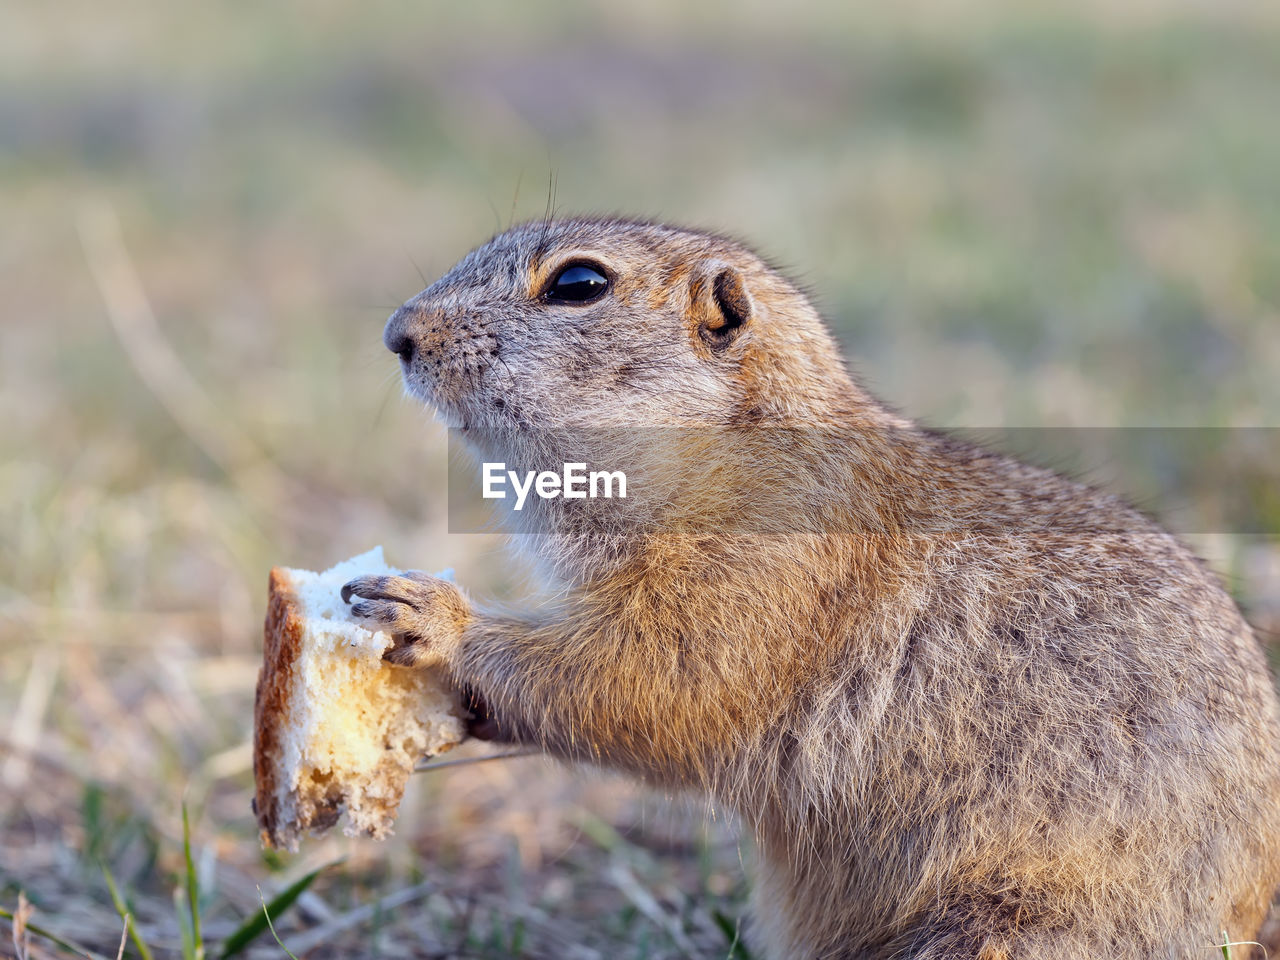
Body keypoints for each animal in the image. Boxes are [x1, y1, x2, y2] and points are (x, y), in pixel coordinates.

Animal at [340, 220, 1280, 960]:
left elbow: (650, 681)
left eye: (579, 284)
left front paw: (431, 616)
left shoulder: (760, 578)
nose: (395, 333)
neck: (737, 450)